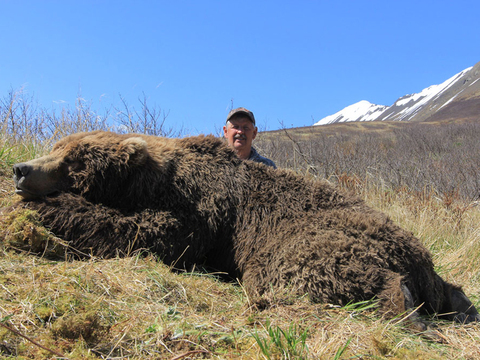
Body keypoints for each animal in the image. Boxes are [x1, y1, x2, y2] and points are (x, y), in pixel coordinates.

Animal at [11, 130, 480, 324]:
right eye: (57, 146)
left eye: (73, 161)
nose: (20, 168)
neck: (158, 179)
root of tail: (420, 261)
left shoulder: (200, 212)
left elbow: (152, 234)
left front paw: (51, 208)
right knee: (452, 291)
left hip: (310, 242)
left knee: (296, 272)